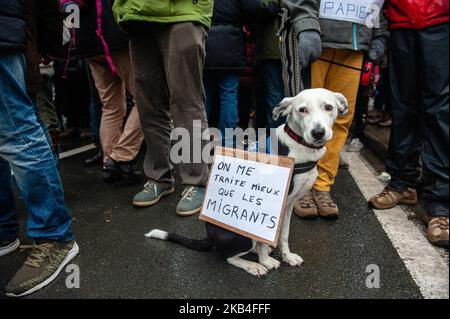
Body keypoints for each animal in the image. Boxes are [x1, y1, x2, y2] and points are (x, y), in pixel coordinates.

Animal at [145, 88, 348, 278]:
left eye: (328, 107)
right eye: (302, 110)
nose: (318, 133)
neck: (299, 146)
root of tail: (210, 237)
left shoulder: (288, 205)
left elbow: (284, 235)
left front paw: (287, 256)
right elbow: (263, 241)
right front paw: (266, 261)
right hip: (241, 233)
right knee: (228, 256)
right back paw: (253, 264)